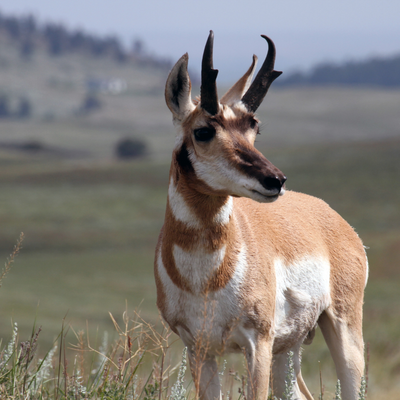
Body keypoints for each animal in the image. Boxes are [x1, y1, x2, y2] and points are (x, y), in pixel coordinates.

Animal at [154, 32, 368, 400]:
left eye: (254, 128)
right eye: (203, 131)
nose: (275, 180)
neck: (204, 279)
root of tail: (334, 218)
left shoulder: (258, 342)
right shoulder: (199, 350)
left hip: (342, 327)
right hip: (289, 350)